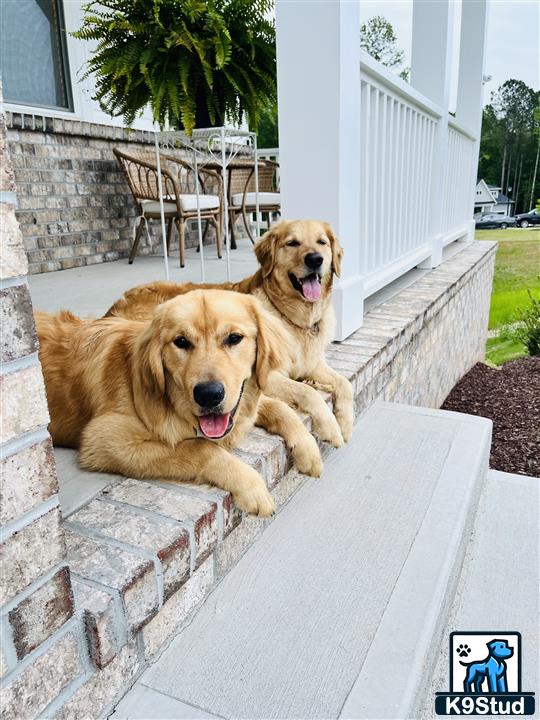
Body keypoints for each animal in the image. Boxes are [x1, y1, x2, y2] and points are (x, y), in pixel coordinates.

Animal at [35, 288, 322, 516]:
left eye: (234, 338)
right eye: (181, 342)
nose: (209, 395)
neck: (173, 402)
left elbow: (280, 407)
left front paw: (308, 447)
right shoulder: (104, 439)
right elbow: (201, 448)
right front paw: (253, 488)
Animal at [107, 218, 356, 444]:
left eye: (322, 242)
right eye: (292, 243)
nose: (315, 259)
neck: (297, 318)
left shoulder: (314, 364)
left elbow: (345, 384)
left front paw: (345, 424)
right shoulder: (269, 375)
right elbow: (308, 392)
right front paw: (330, 428)